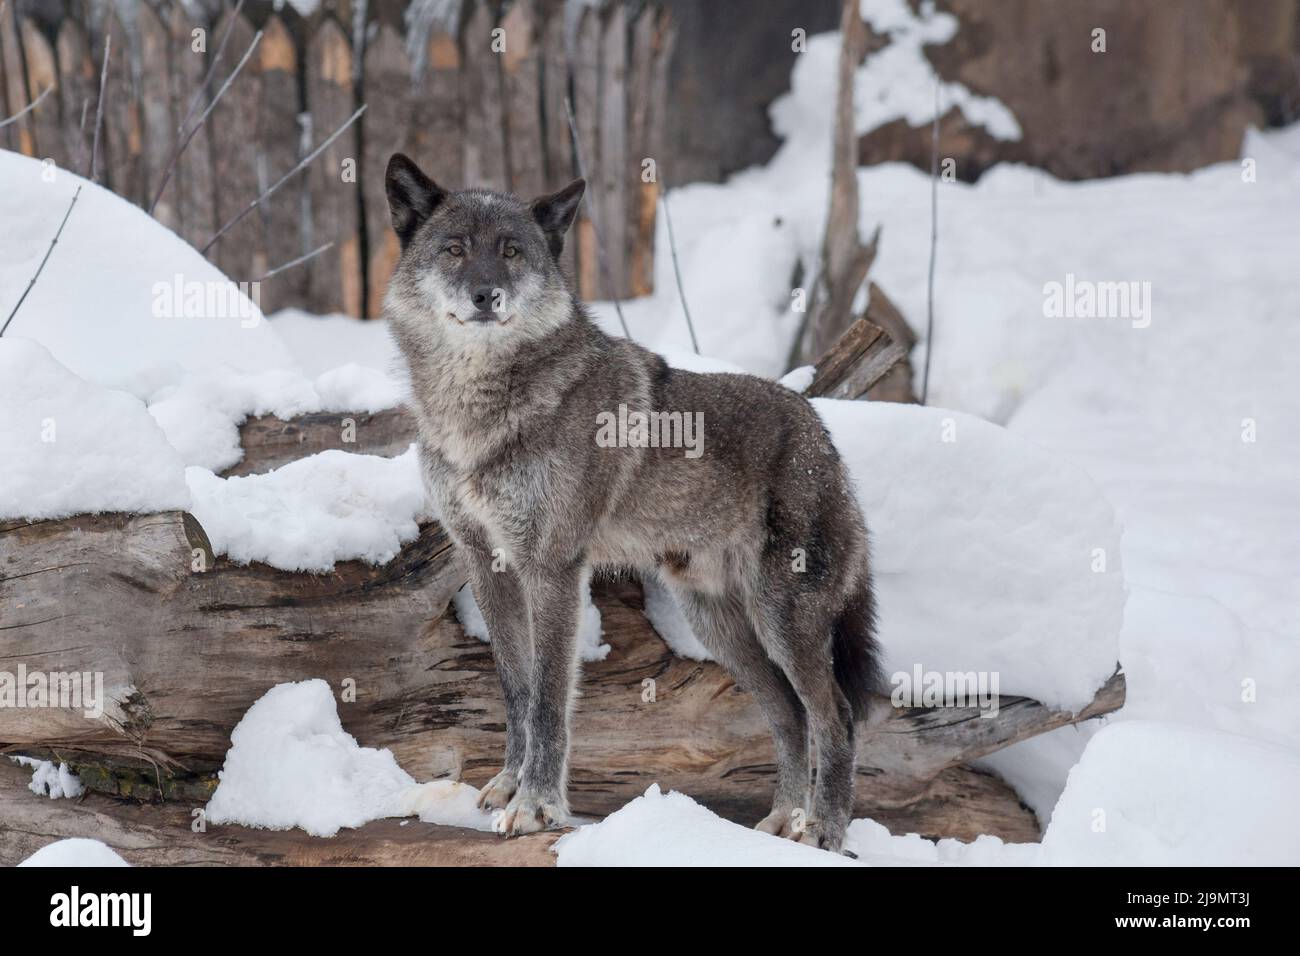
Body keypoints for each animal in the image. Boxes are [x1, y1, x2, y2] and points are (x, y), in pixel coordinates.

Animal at [383, 153, 882, 852]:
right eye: (455, 249)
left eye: (511, 251)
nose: (486, 295)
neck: (475, 413)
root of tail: (825, 438)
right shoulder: (488, 563)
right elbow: (514, 687)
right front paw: (508, 786)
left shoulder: (553, 566)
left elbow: (548, 697)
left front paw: (537, 806)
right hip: (721, 625)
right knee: (789, 714)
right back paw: (782, 824)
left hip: (783, 619)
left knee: (834, 715)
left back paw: (825, 834)